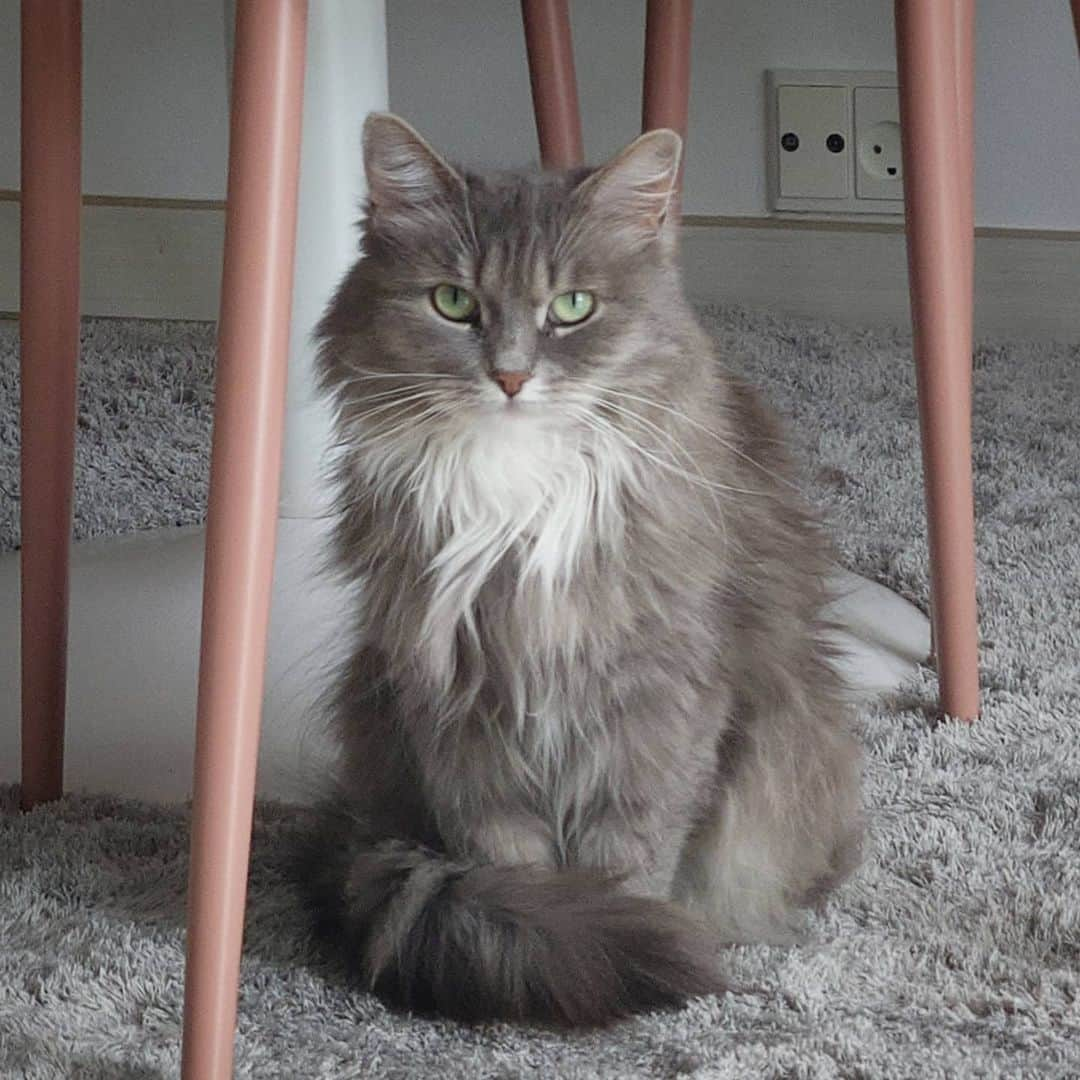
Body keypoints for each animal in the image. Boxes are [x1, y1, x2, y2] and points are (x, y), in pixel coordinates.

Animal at [293, 111, 859, 1028]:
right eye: (454, 302)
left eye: (572, 308)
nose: (511, 376)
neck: (513, 493)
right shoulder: (457, 704)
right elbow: (513, 861)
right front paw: (557, 938)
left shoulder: (656, 699)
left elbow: (628, 851)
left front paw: (627, 936)